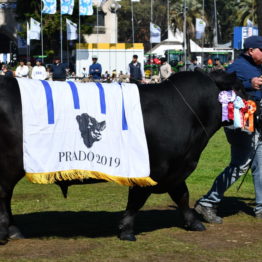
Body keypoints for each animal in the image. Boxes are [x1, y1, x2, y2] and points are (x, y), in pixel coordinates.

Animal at [0, 70, 244, 244]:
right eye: (242, 88)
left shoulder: (175, 168)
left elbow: (181, 195)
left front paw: (193, 222)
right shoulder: (153, 168)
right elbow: (137, 199)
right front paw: (126, 230)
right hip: (9, 164)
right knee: (4, 195)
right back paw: (8, 232)